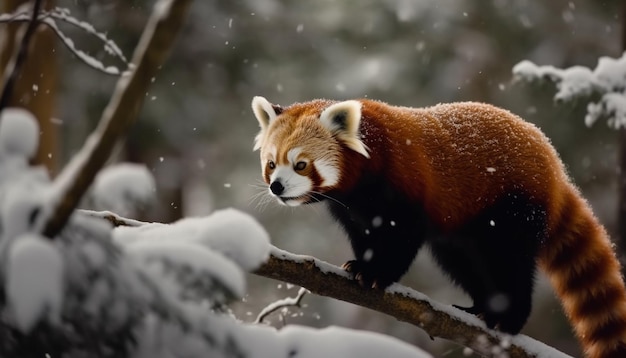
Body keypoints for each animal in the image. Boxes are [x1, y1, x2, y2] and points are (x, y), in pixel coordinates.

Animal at [251, 95, 624, 358]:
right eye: (271, 164)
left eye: (301, 165)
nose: (277, 187)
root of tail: (554, 164)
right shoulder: (353, 208)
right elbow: (365, 235)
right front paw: (361, 264)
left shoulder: (404, 183)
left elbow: (402, 237)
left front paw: (376, 274)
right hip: (464, 228)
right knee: (465, 262)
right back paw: (482, 308)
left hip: (513, 204)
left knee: (510, 262)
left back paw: (507, 318)